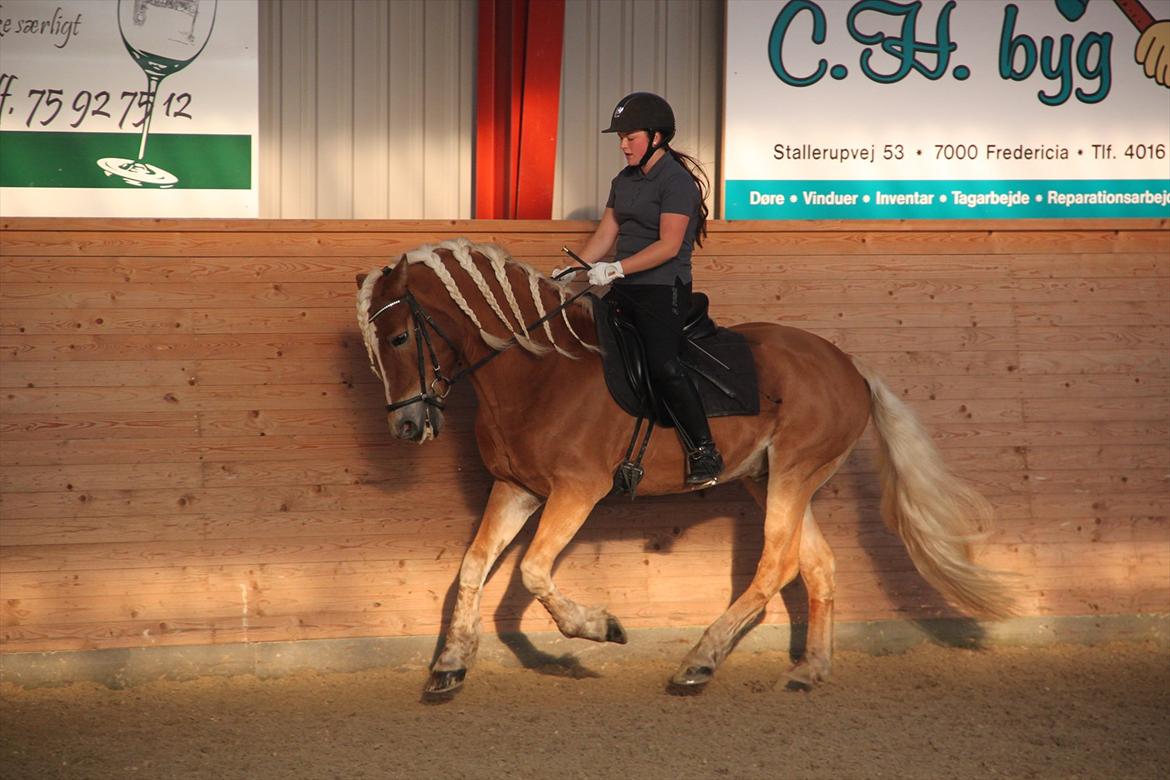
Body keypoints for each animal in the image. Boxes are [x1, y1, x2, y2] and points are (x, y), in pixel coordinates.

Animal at [353, 236, 1015, 696]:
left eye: (398, 338)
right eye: (374, 347)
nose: (405, 427)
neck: (537, 369)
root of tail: (850, 366)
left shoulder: (577, 491)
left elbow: (534, 573)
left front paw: (602, 628)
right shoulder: (516, 488)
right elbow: (473, 566)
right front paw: (449, 665)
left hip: (795, 472)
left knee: (776, 564)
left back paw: (699, 661)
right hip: (770, 479)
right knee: (817, 565)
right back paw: (808, 670)